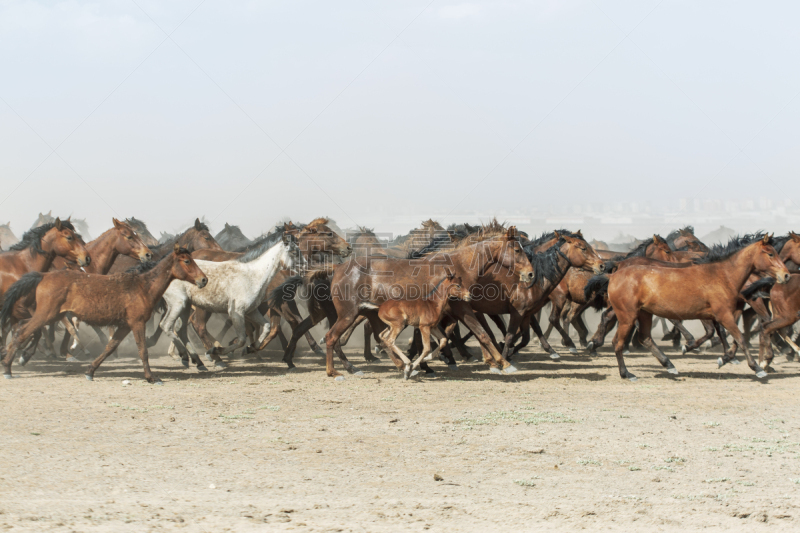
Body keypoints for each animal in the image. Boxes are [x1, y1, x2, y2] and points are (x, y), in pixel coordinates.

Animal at [0, 245, 206, 382]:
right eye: (187, 261)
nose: (204, 280)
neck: (142, 287)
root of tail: (43, 275)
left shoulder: (124, 325)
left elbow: (110, 347)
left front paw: (90, 372)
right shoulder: (137, 323)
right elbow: (143, 350)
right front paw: (151, 377)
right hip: (46, 315)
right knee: (22, 332)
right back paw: (9, 367)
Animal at [153, 235, 300, 368]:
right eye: (293, 252)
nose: (303, 269)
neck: (252, 274)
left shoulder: (252, 311)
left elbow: (266, 327)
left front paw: (251, 349)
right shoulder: (238, 312)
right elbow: (243, 337)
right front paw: (222, 350)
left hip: (187, 306)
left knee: (180, 327)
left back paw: (197, 359)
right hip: (186, 305)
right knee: (186, 325)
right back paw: (212, 358)